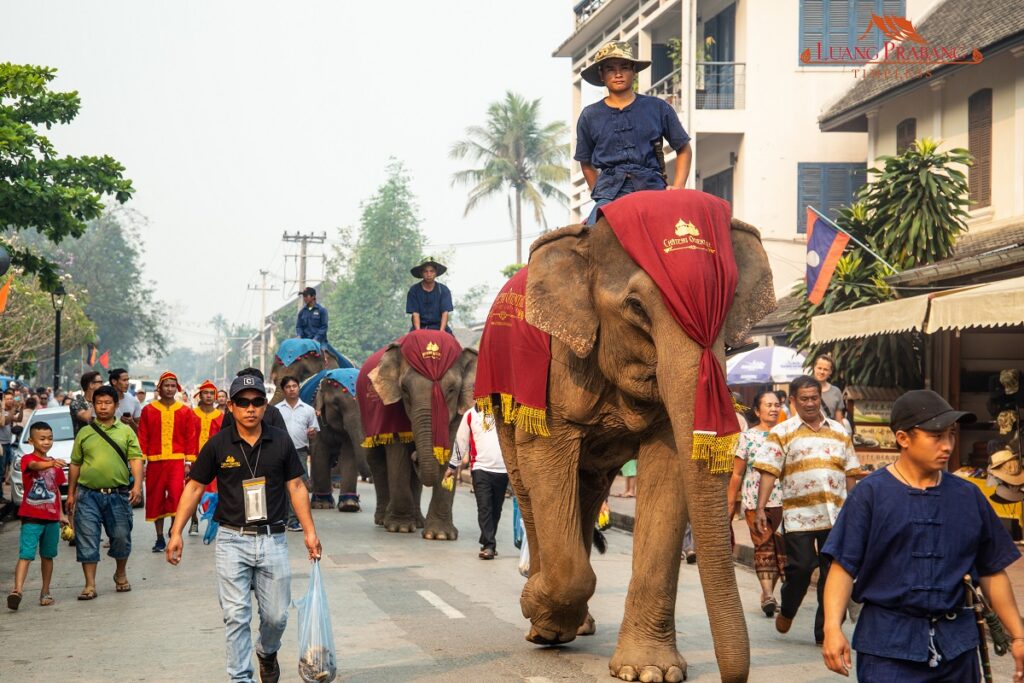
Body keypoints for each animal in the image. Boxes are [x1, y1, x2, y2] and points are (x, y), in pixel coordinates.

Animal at [364, 329, 479, 540]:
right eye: (405, 389)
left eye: (452, 390)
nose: (416, 455)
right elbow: (398, 452)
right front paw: (399, 528)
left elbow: (449, 449)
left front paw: (440, 535)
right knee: (376, 461)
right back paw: (384, 519)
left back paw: (418, 522)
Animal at [479, 192, 774, 683]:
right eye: (636, 307)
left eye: (729, 301)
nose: (732, 675)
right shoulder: (559, 364)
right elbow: (546, 456)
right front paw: (535, 609)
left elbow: (669, 467)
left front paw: (649, 670)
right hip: (505, 392)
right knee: (527, 484)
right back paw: (542, 621)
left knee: (588, 488)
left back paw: (576, 623)